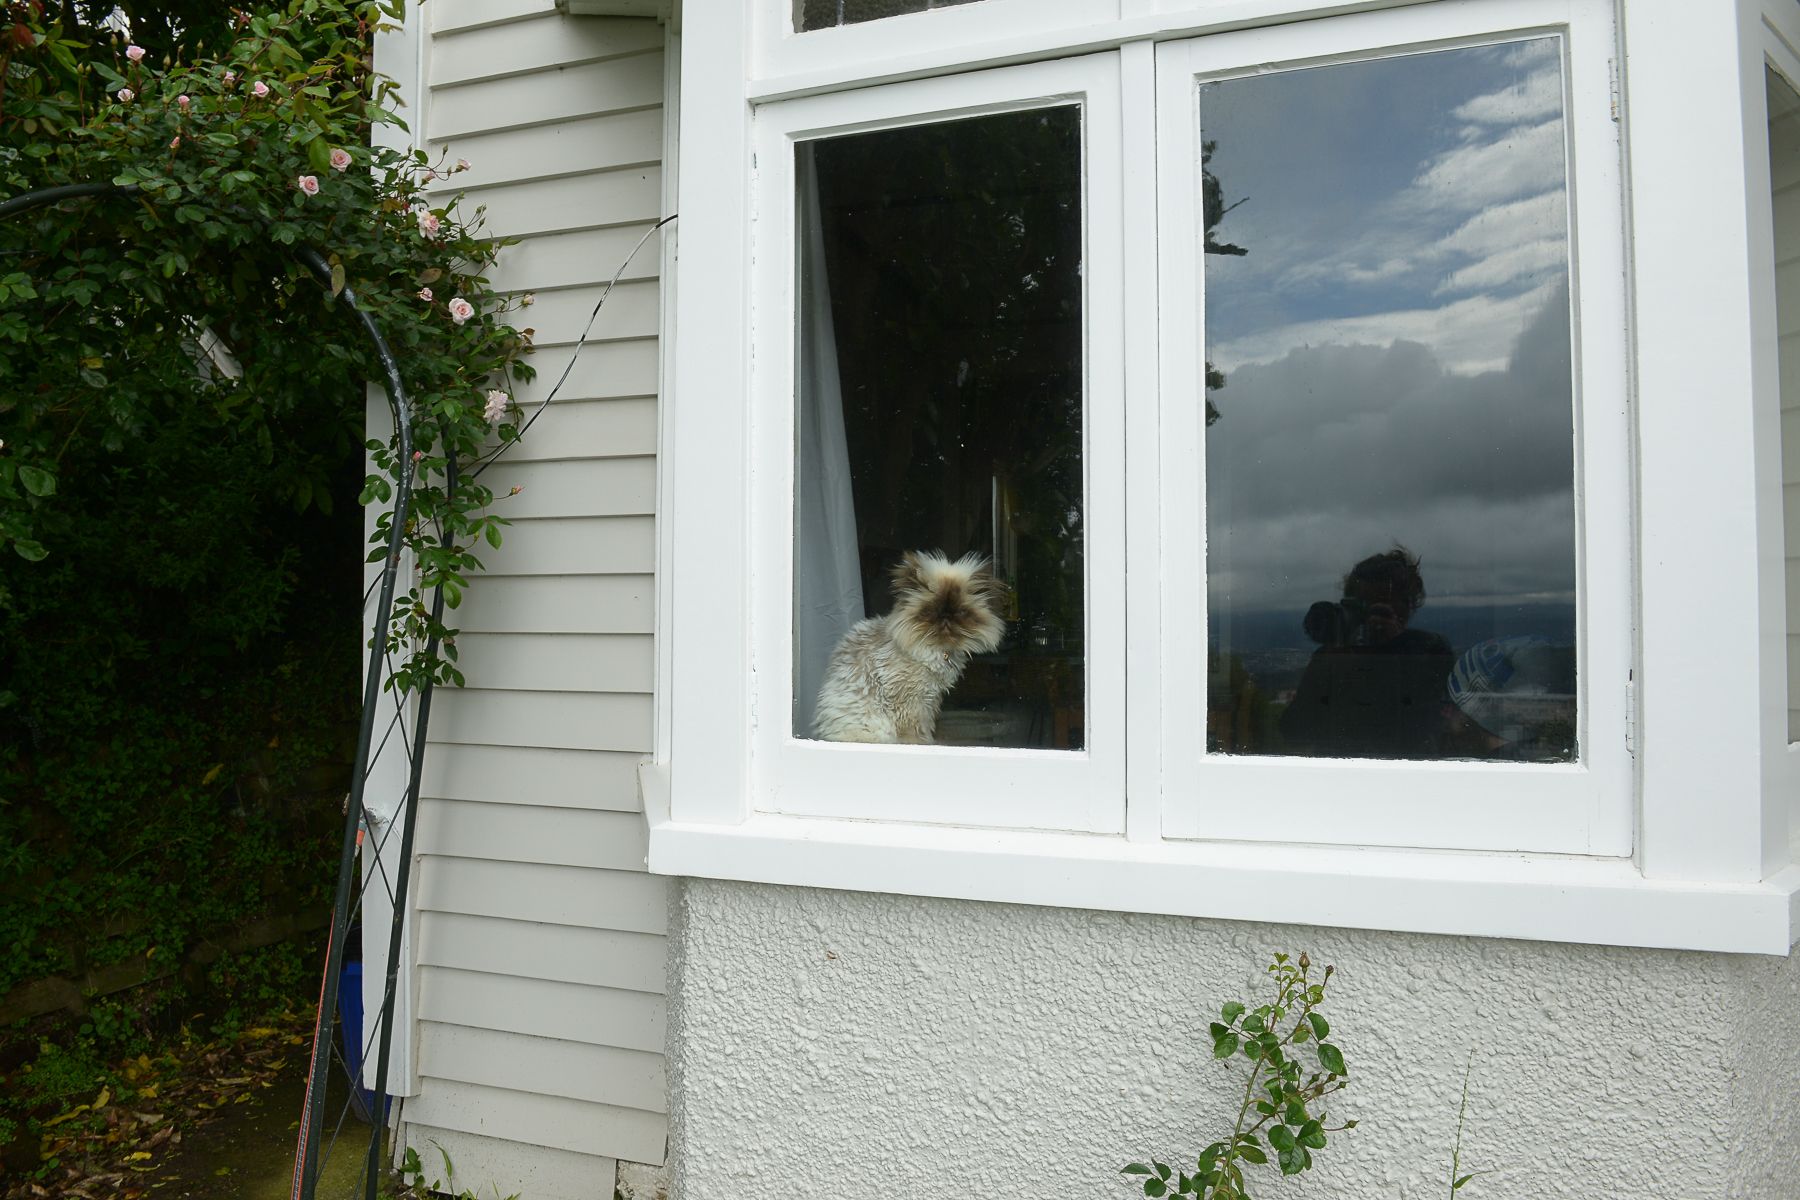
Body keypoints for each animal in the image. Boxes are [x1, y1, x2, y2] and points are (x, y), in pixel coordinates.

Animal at [812, 550, 1006, 744]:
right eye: (930, 611)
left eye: (961, 612)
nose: (945, 618)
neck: (938, 651)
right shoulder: (909, 702)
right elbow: (913, 733)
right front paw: (921, 743)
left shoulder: (930, 700)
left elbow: (926, 728)